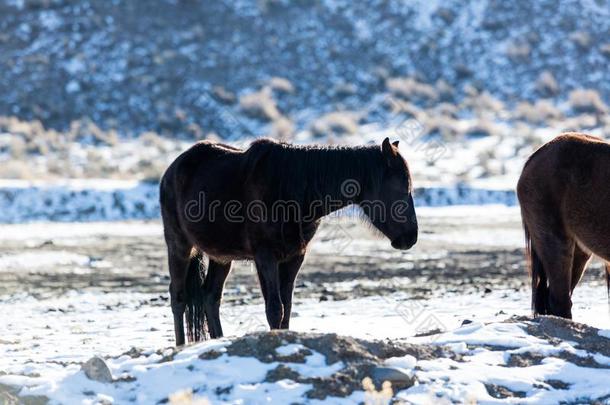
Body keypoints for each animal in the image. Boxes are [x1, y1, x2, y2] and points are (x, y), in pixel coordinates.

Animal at [159, 137, 416, 344]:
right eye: (401, 187)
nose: (411, 237)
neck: (293, 193)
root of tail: (171, 171)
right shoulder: (265, 257)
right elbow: (275, 308)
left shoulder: (294, 257)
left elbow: (287, 307)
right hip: (179, 246)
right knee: (179, 298)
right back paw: (180, 346)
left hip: (221, 257)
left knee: (210, 298)